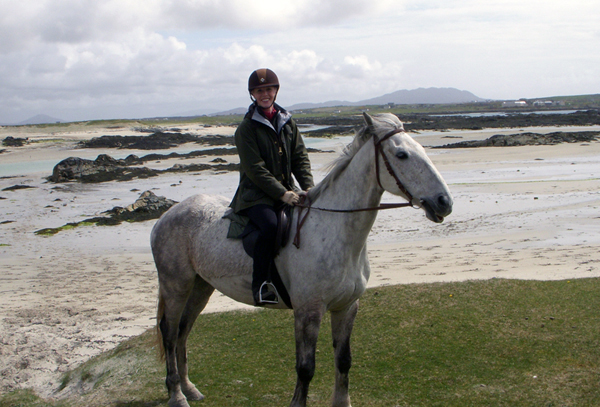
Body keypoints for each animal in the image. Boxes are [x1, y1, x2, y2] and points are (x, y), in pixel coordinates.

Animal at [152, 112, 452, 407]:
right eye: (402, 155)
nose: (444, 202)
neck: (334, 230)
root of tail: (167, 216)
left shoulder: (346, 307)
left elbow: (344, 361)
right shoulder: (308, 311)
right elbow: (306, 368)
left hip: (201, 286)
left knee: (183, 330)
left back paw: (189, 389)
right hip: (176, 286)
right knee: (169, 332)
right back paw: (177, 395)